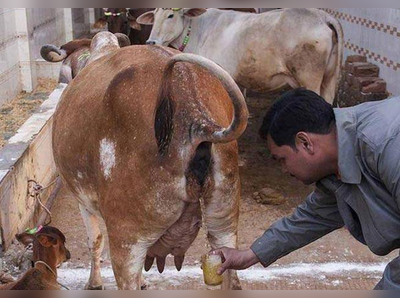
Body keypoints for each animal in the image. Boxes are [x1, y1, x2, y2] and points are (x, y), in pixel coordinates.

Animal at [51, 45, 248, 290]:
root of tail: (194, 115)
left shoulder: (83, 200)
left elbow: (94, 241)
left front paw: (94, 283)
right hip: (225, 224)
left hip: (128, 241)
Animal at [138, 8, 344, 105]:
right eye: (154, 16)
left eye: (171, 15)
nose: (151, 42)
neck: (198, 30)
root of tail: (323, 17)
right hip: (329, 78)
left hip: (309, 77)